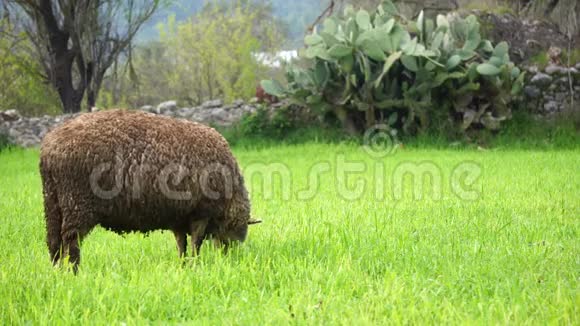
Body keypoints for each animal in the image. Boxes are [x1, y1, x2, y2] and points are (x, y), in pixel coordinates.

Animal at [39, 110, 260, 272]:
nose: (230, 258)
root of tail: (49, 149)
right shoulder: (201, 213)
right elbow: (195, 244)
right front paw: (195, 265)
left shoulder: (178, 218)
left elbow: (181, 244)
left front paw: (183, 266)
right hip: (77, 204)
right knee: (71, 241)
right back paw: (74, 271)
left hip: (52, 202)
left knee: (54, 242)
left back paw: (57, 272)